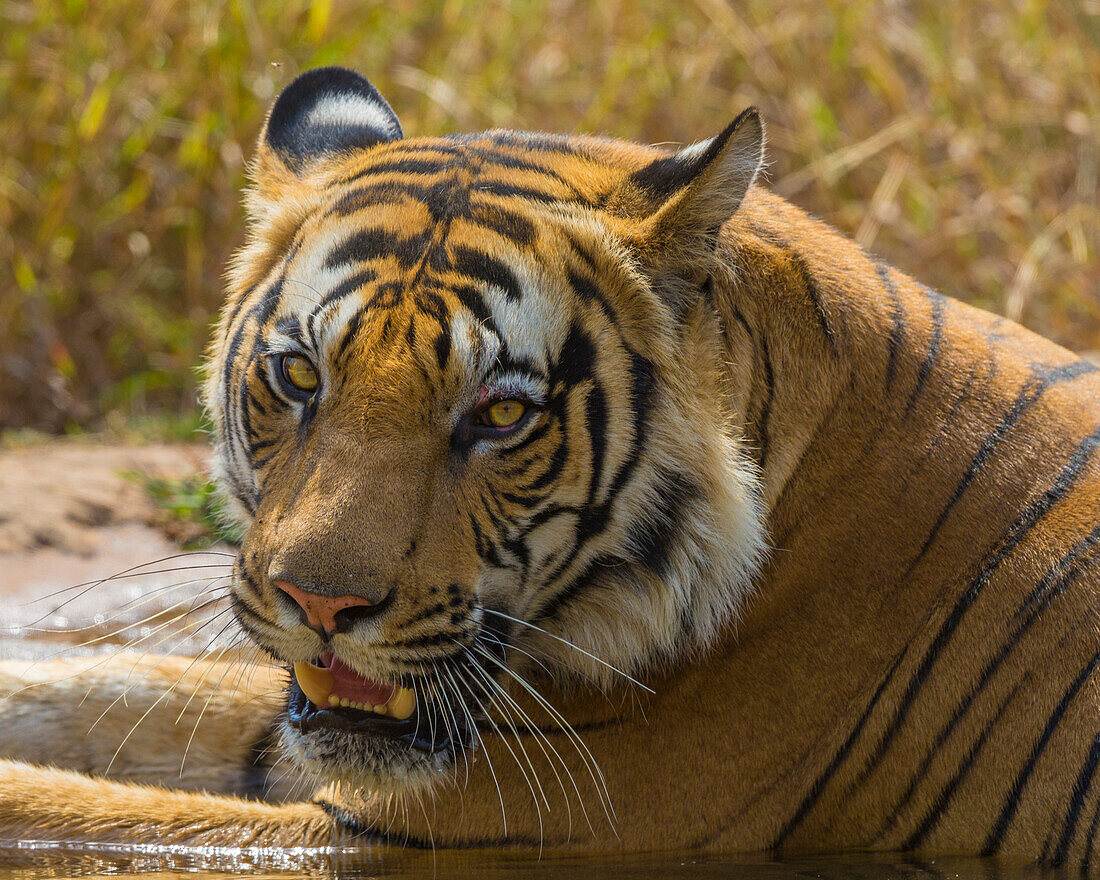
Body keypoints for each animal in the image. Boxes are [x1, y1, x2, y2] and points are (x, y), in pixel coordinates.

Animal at [2, 68, 1100, 871]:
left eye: (500, 414)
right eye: (300, 374)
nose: (318, 605)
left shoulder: (444, 821)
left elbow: (73, 809)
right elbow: (132, 690)